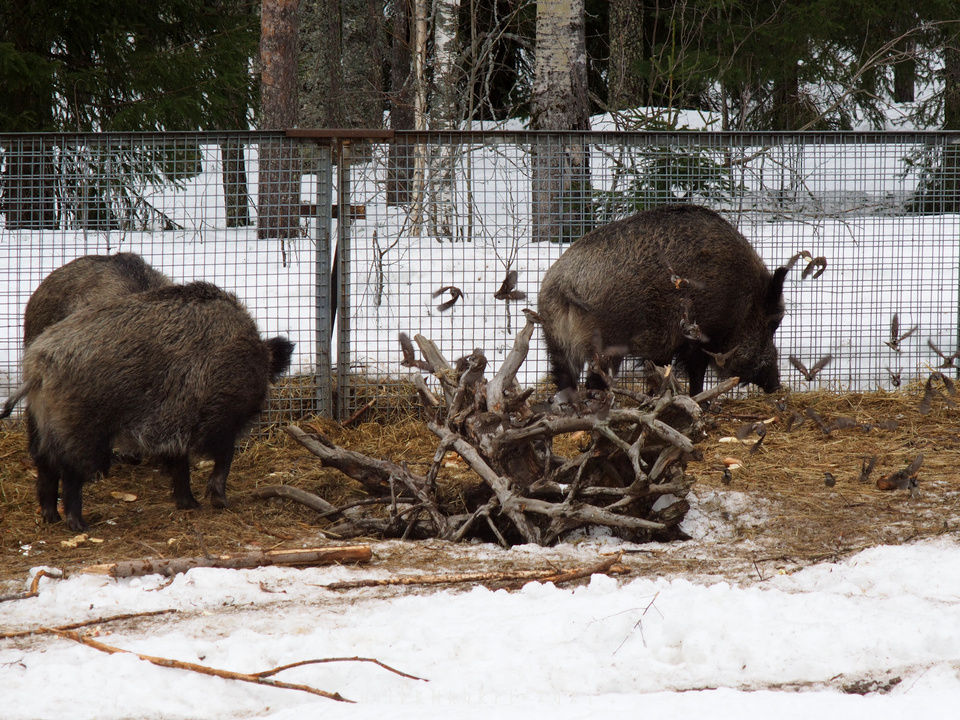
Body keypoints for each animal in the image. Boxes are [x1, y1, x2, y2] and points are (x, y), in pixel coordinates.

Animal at [1, 281, 295, 532]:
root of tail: (39, 367)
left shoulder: (177, 428)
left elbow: (180, 466)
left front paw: (190, 505)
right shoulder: (217, 420)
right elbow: (224, 457)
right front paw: (220, 502)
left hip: (41, 424)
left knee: (45, 468)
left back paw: (50, 518)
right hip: (81, 430)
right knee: (70, 474)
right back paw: (80, 525)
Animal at [537, 204, 788, 396]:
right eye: (774, 323)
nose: (776, 385)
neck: (742, 301)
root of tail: (563, 283)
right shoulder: (699, 336)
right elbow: (696, 372)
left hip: (555, 342)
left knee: (564, 379)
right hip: (605, 345)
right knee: (593, 381)